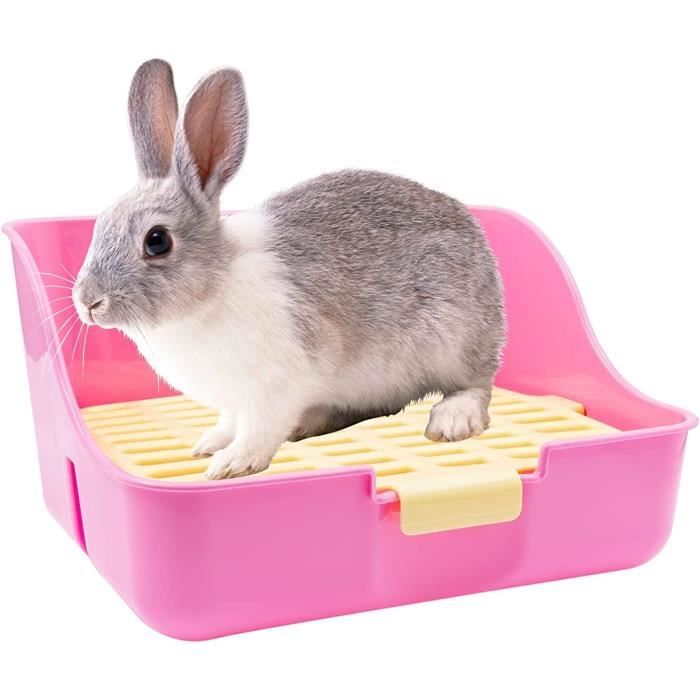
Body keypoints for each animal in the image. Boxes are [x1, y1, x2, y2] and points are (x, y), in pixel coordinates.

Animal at [73, 59, 505, 480]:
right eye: (99, 225)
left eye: (157, 241)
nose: (88, 302)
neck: (212, 288)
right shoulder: (234, 401)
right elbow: (229, 422)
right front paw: (208, 444)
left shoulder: (274, 389)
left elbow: (259, 430)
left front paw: (233, 463)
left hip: (455, 343)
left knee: (476, 385)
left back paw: (452, 420)